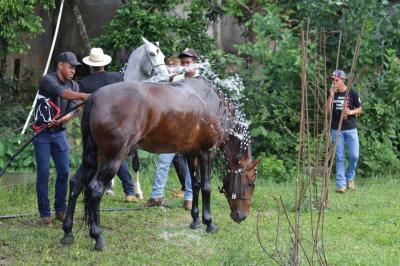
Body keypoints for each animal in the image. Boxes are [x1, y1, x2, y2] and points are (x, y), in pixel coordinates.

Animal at [59, 77, 260, 249]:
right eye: (251, 183)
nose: (242, 216)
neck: (214, 103)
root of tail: (93, 96)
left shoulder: (192, 153)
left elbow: (194, 185)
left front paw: (195, 220)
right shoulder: (207, 152)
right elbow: (206, 187)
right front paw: (209, 223)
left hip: (94, 157)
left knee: (76, 183)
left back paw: (68, 232)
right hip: (112, 158)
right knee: (94, 189)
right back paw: (98, 237)